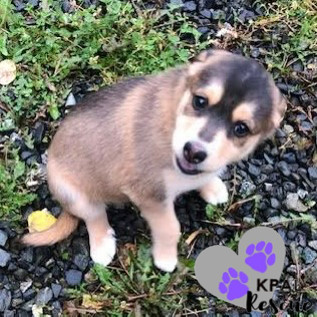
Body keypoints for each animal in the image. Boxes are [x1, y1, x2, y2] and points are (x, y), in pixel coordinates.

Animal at [21, 50, 284, 272]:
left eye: (241, 129)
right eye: (200, 101)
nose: (193, 152)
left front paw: (212, 187)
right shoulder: (150, 195)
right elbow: (170, 228)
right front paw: (165, 259)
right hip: (73, 193)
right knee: (93, 215)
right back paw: (102, 245)